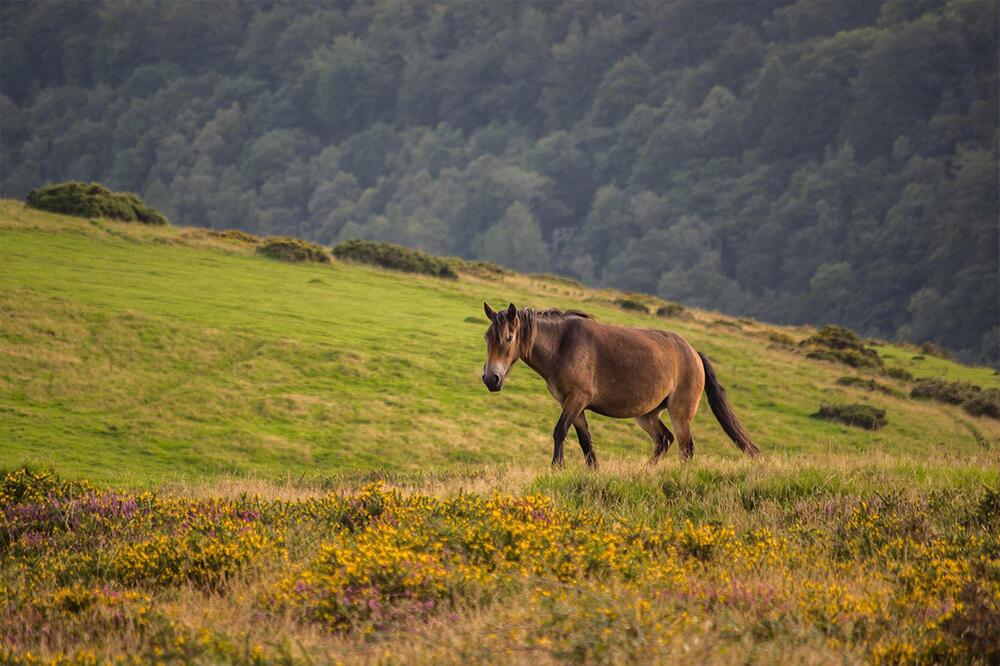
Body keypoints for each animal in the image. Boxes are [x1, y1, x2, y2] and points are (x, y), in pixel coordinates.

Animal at [482, 302, 756, 466]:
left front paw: (556, 468)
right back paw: (646, 472)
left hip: (680, 413)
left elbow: (560, 431)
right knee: (664, 440)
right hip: (647, 414)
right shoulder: (572, 403)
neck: (562, 346)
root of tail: (694, 354)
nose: (490, 378)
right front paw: (592, 471)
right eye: (487, 337)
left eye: (508, 337)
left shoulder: (577, 399)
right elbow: (585, 441)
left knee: (685, 447)